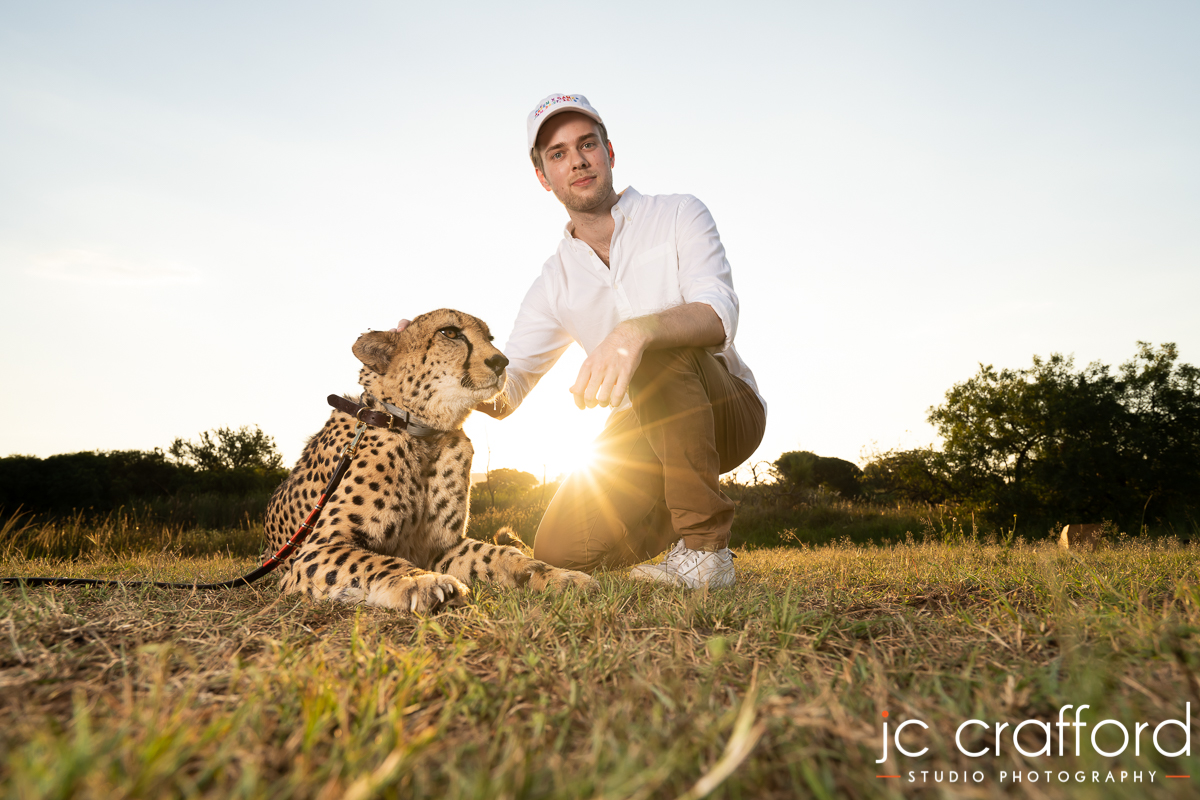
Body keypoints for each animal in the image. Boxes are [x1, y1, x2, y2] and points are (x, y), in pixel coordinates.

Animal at [262, 308, 597, 613]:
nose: (501, 362)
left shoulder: (442, 547)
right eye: (450, 333)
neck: (424, 433)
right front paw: (421, 581)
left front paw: (559, 576)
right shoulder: (315, 550)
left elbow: (499, 555)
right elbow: (372, 561)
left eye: (490, 338)